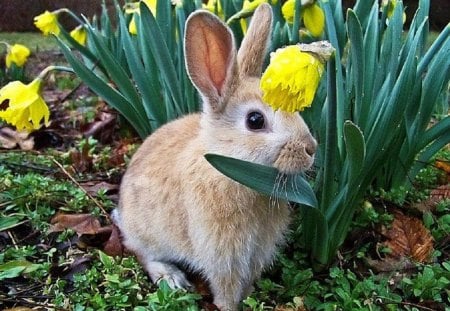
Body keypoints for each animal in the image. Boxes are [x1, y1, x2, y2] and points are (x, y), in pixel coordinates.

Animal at [112, 3, 316, 311]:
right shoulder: (222, 254)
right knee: (142, 252)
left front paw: (250, 296)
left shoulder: (256, 252)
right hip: (147, 234)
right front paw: (229, 306)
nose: (311, 149)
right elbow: (225, 287)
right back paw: (171, 278)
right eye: (255, 120)